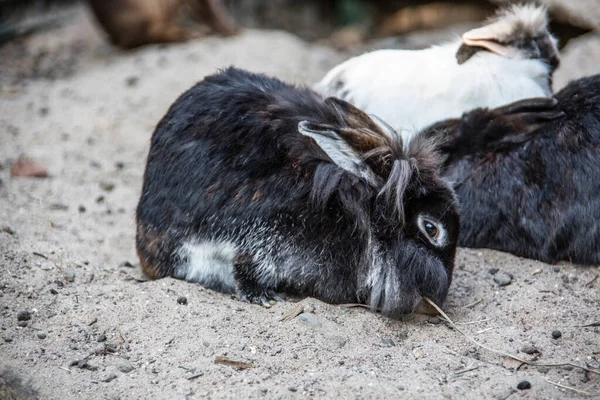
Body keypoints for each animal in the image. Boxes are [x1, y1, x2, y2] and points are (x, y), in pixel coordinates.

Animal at [138, 67, 460, 316]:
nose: (440, 297)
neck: (356, 212)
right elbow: (245, 268)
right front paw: (263, 297)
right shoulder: (259, 236)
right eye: (431, 228)